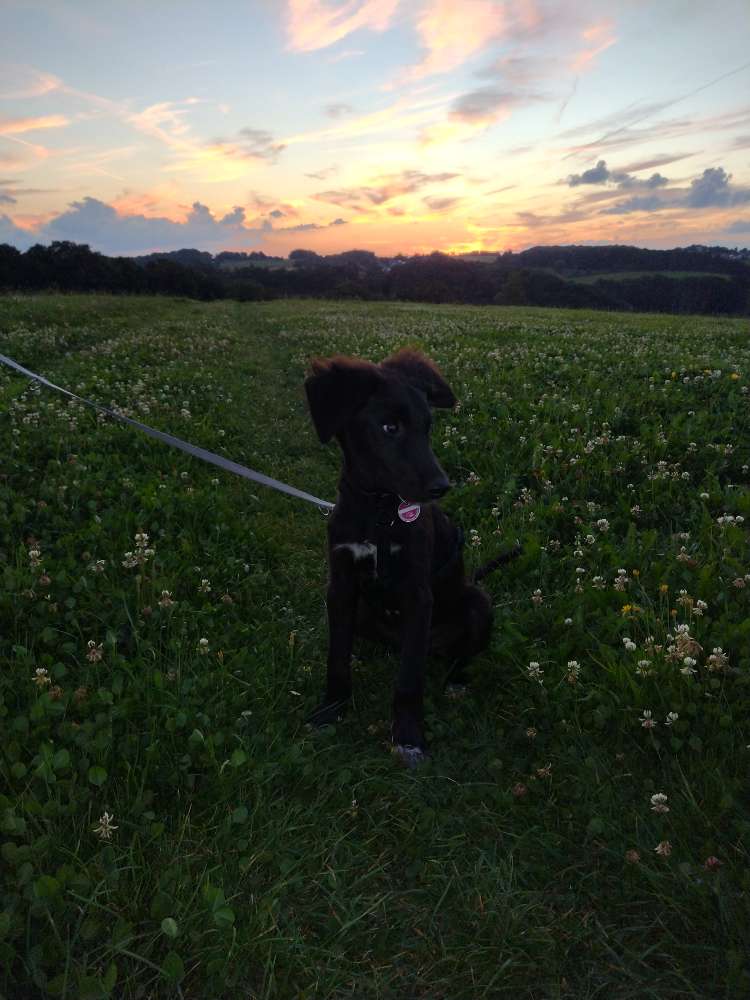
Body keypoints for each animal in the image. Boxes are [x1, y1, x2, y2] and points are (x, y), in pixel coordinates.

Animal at [306, 348, 516, 760]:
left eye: (428, 427)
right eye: (390, 428)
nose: (442, 487)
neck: (377, 513)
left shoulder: (419, 595)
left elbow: (408, 679)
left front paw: (407, 736)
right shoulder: (340, 585)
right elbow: (336, 656)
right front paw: (331, 708)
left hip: (478, 603)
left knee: (457, 655)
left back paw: (456, 681)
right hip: (364, 612)